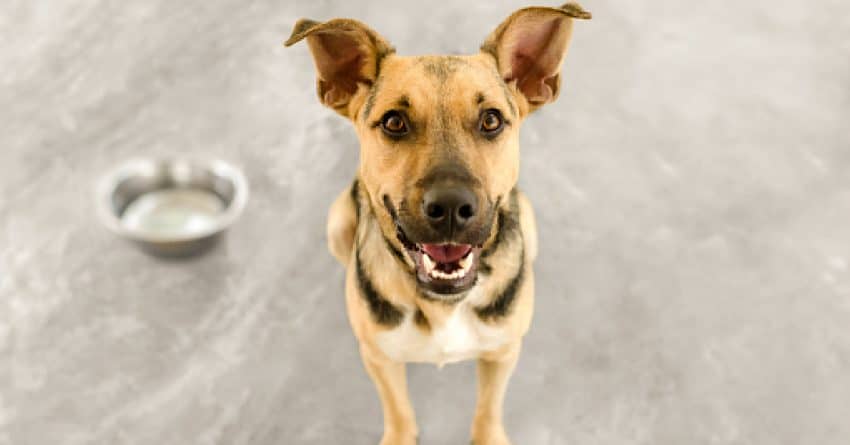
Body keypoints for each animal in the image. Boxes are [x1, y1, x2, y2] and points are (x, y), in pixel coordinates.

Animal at [284, 4, 588, 444]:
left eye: (491, 120)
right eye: (394, 122)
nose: (450, 207)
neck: (443, 302)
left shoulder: (503, 352)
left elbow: (488, 410)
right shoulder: (379, 358)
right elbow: (399, 412)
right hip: (337, 222)